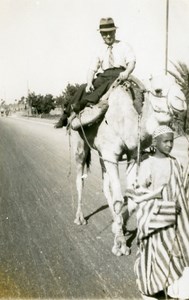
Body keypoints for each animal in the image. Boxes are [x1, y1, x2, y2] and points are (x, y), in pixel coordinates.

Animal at [70, 75, 186, 255]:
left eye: (177, 84)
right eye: (158, 90)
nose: (182, 101)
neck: (127, 120)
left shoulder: (131, 156)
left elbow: (131, 199)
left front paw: (119, 227)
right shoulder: (111, 154)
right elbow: (119, 199)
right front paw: (120, 245)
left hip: (103, 155)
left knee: (105, 185)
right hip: (80, 141)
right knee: (80, 179)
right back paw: (80, 218)